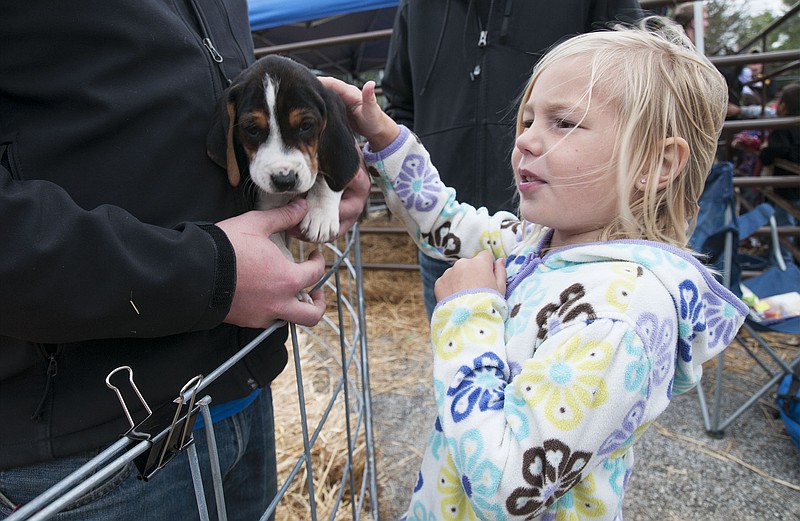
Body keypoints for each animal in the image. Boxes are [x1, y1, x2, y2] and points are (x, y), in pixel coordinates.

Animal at [206, 55, 360, 268]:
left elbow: (324, 174)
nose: (284, 180)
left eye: (306, 125)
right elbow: (279, 247)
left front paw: (320, 212)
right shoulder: (265, 206)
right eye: (252, 129)